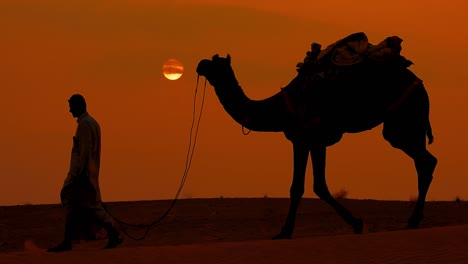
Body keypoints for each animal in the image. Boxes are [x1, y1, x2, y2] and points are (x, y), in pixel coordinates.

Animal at [196, 34, 436, 238]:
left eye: (216, 63)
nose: (200, 64)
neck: (281, 107)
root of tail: (419, 82)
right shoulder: (308, 140)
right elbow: (311, 185)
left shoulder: (308, 138)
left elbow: (306, 186)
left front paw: (286, 232)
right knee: (425, 161)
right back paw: (414, 219)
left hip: (403, 120)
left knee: (426, 161)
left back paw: (413, 220)